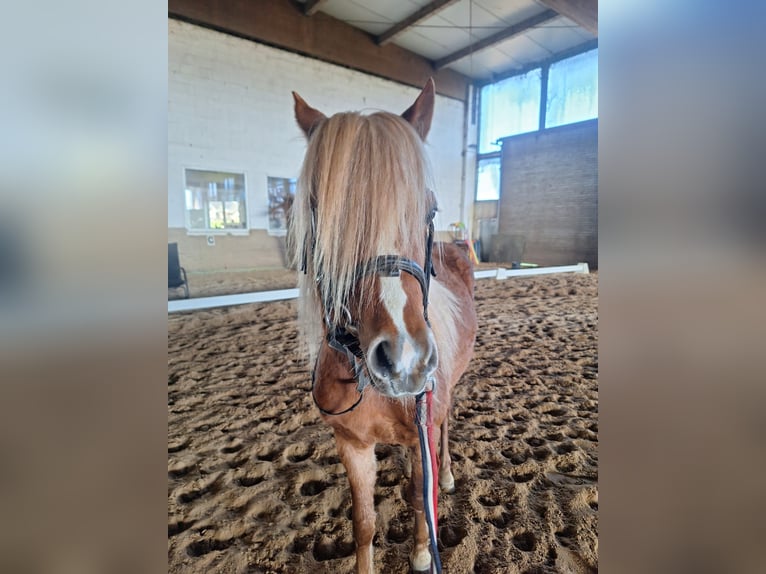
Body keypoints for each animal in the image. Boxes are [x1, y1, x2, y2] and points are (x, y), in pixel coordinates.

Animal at [289, 79, 477, 573]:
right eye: (322, 212)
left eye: (430, 212)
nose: (403, 359)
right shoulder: (352, 444)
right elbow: (364, 523)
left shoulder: (424, 425)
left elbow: (421, 499)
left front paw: (420, 552)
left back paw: (446, 474)